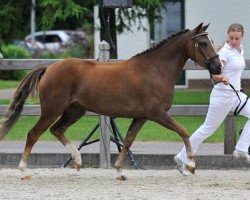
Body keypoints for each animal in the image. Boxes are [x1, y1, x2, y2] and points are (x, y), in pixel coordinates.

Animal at [0, 23, 221, 180]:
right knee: (33, 134)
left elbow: (128, 141)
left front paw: (119, 171)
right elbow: (183, 131)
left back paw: (77, 161)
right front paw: (190, 165)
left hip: (74, 111)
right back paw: (24, 171)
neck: (155, 70)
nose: (218, 67)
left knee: (57, 130)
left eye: (210, 41)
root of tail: (49, 67)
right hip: (52, 110)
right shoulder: (157, 114)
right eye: (202, 43)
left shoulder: (141, 117)